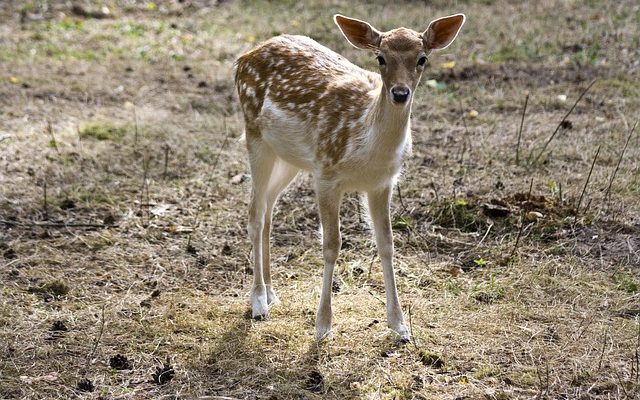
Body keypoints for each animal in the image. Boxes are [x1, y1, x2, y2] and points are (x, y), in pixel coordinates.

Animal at [235, 11, 464, 340]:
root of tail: (244, 57)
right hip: (254, 134)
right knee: (255, 213)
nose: (400, 93)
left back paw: (272, 293)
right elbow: (332, 244)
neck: (366, 149)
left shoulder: (382, 183)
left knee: (268, 209)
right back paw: (258, 303)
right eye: (380, 57)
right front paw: (322, 326)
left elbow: (386, 243)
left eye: (422, 58)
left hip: (290, 158)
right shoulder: (326, 174)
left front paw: (400, 325)